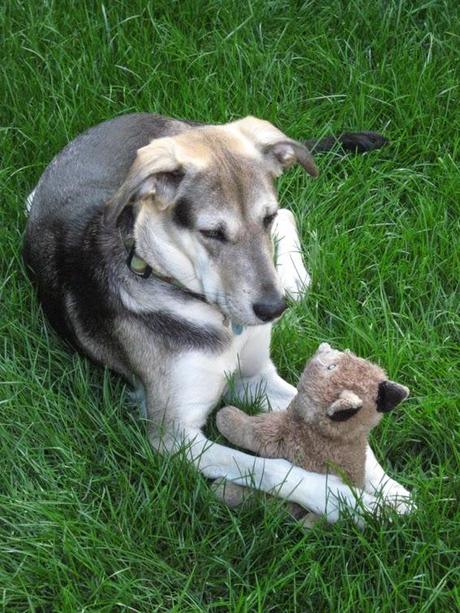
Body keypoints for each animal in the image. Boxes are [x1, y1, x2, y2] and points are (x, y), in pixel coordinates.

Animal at [22, 113, 414, 520]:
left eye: (264, 217)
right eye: (211, 232)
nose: (272, 310)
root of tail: (127, 117)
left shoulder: (255, 376)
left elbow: (356, 443)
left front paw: (389, 490)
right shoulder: (173, 437)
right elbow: (269, 467)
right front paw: (346, 501)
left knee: (291, 222)